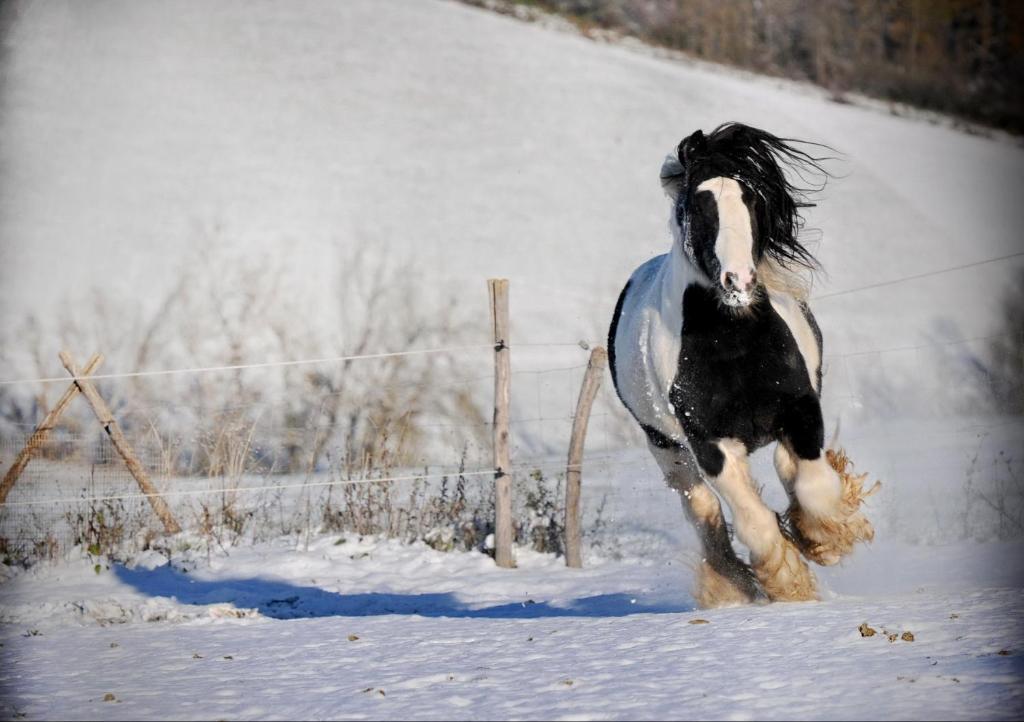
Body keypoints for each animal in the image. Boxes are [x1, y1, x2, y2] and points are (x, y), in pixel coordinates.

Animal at [602, 120, 876, 606]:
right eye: (698, 204)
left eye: (751, 198)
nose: (739, 281)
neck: (732, 344)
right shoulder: (709, 443)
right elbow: (753, 522)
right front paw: (787, 582)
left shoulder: (801, 409)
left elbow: (814, 486)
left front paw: (824, 539)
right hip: (666, 447)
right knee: (703, 508)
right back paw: (732, 582)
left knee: (787, 468)